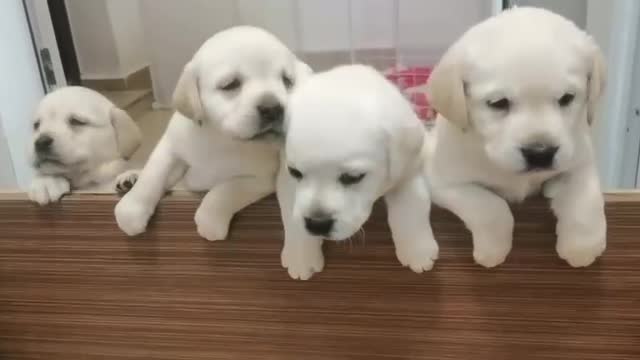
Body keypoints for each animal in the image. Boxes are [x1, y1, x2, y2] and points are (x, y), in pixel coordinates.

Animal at [116, 26, 314, 240]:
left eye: (288, 81)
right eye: (230, 84)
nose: (273, 108)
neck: (221, 138)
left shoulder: (262, 178)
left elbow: (225, 191)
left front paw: (210, 220)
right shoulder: (171, 145)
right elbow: (153, 174)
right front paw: (131, 209)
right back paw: (130, 178)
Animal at [280, 65, 440, 282]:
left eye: (353, 177)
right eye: (295, 172)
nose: (317, 224)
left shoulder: (408, 169)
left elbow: (413, 206)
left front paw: (418, 251)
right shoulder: (286, 179)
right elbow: (291, 216)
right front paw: (300, 257)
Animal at [424, 7, 604, 268]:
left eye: (567, 98)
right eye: (498, 103)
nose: (540, 153)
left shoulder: (579, 160)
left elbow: (585, 200)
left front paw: (582, 247)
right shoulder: (443, 181)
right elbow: (492, 206)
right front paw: (492, 250)